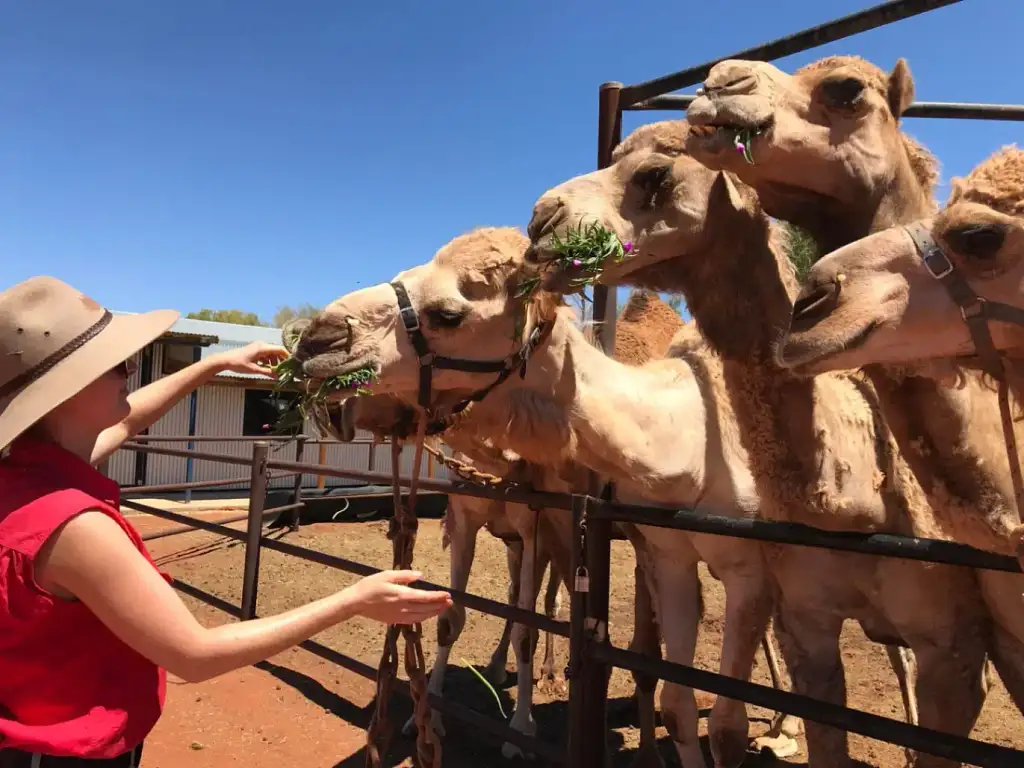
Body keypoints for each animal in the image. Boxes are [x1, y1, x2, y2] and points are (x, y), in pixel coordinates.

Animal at [290, 230, 815, 768]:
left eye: (449, 314)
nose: (318, 340)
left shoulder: (559, 526)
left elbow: (575, 635)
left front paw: (522, 729)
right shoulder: (475, 519)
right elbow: (455, 615)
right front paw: (427, 718)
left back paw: (786, 723)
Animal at [524, 115, 987, 768]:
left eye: (655, 173)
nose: (541, 222)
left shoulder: (754, 568)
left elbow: (726, 722)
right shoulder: (669, 551)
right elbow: (677, 698)